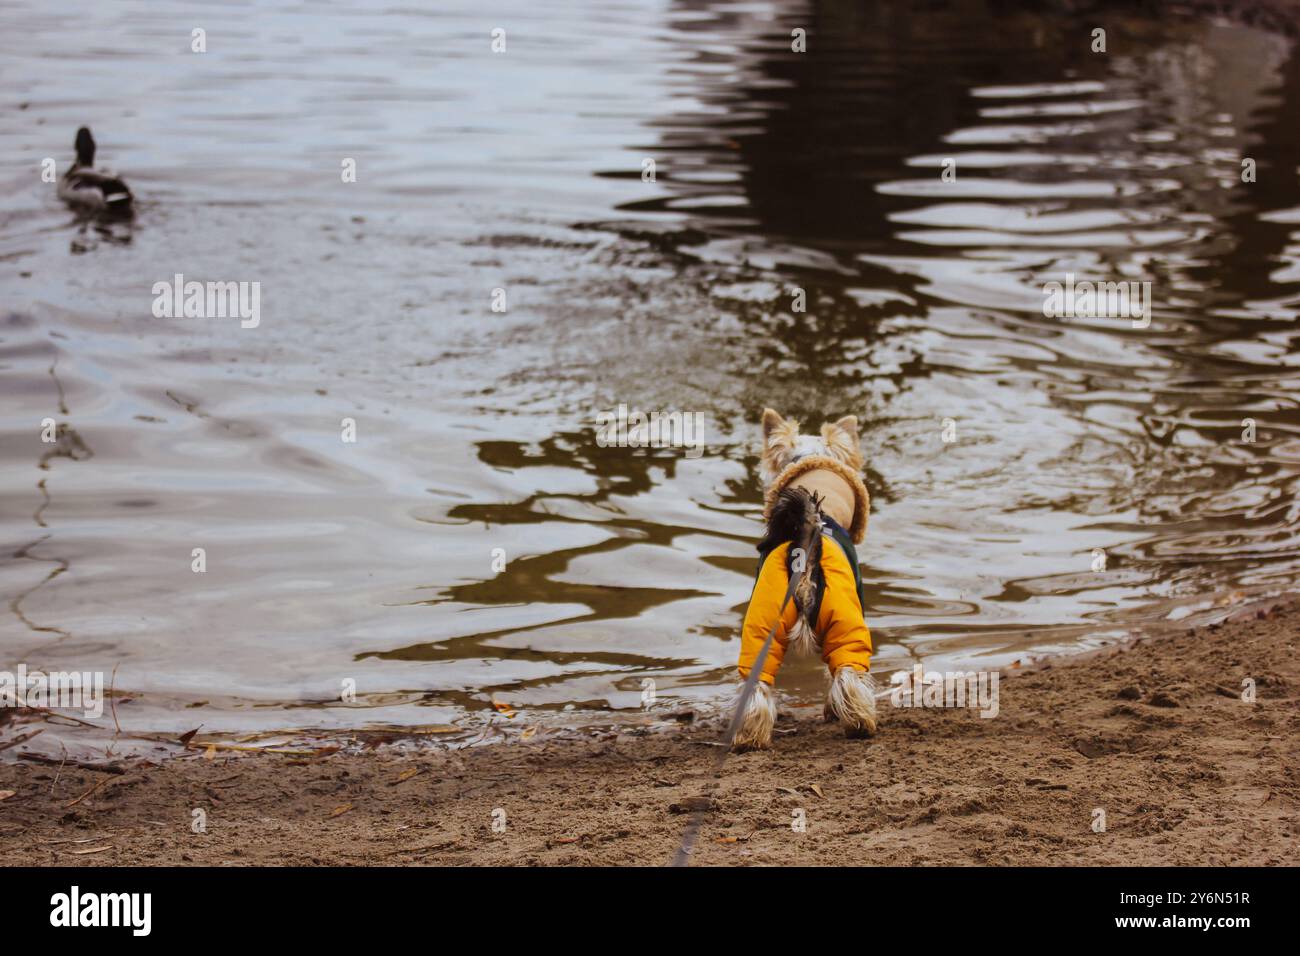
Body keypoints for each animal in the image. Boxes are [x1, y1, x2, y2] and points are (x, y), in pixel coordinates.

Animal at [738, 408, 878, 749]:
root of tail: (804, 551)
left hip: (763, 626)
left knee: (756, 686)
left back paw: (749, 738)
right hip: (846, 624)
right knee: (848, 675)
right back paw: (859, 723)